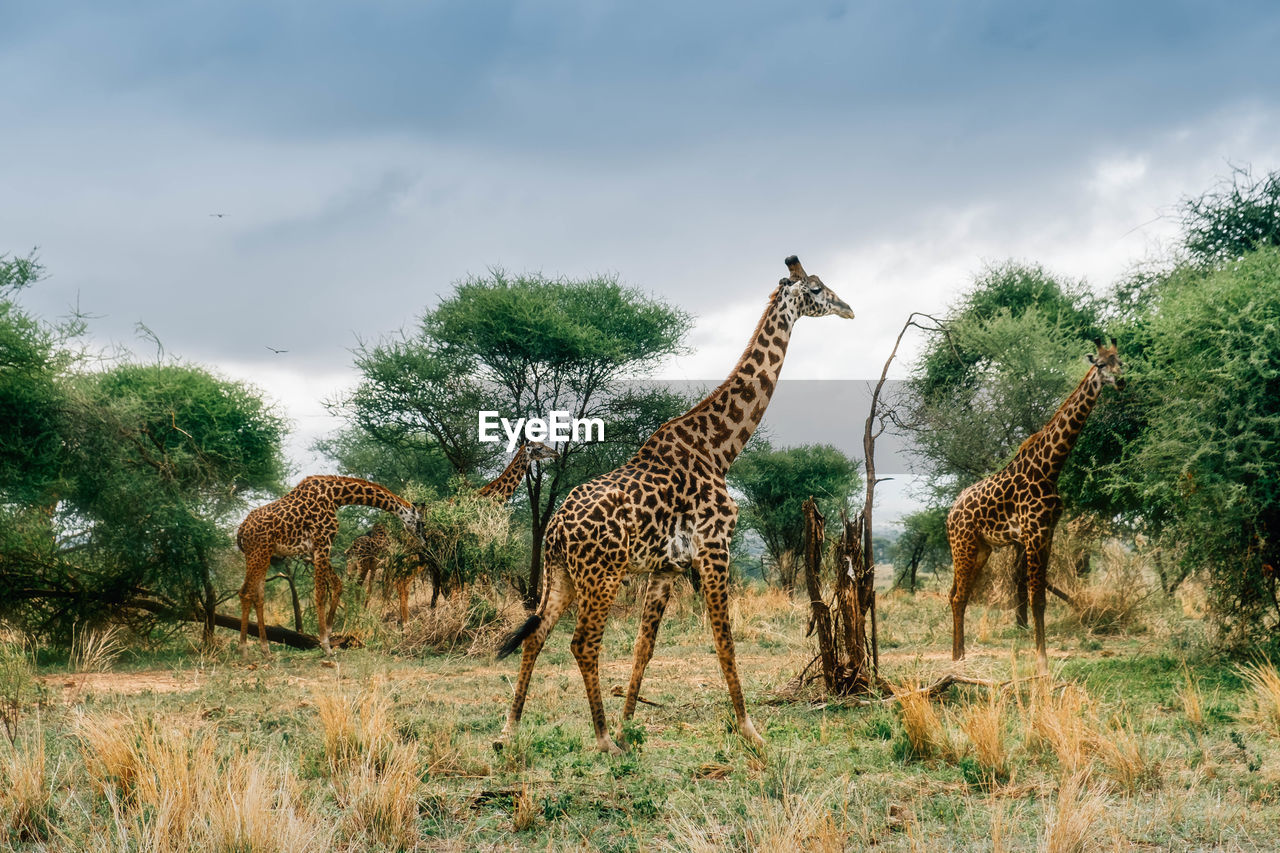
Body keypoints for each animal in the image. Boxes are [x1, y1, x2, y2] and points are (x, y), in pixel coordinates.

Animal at [235, 473, 424, 653]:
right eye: (420, 522)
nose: (423, 540)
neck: (336, 496)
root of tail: (241, 530)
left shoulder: (315, 549)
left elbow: (337, 585)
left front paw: (329, 631)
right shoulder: (323, 542)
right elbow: (320, 593)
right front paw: (326, 645)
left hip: (263, 555)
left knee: (258, 596)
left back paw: (265, 649)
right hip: (258, 553)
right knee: (245, 592)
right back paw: (244, 649)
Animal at [494, 253, 855, 753]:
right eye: (817, 289)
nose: (848, 308)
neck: (719, 448)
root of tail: (554, 531)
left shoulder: (667, 567)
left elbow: (644, 647)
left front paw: (628, 723)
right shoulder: (715, 548)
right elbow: (724, 640)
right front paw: (750, 730)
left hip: (562, 575)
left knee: (536, 636)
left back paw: (509, 731)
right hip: (602, 575)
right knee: (582, 642)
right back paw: (601, 740)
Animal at [947, 338, 1126, 671]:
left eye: (1121, 361)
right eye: (1100, 364)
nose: (1121, 381)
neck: (1050, 467)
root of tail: (950, 513)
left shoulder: (1048, 532)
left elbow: (1040, 597)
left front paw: (1043, 658)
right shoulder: (1033, 533)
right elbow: (1036, 599)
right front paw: (1042, 662)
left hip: (981, 549)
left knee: (957, 594)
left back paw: (959, 659)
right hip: (962, 544)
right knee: (957, 596)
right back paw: (957, 662)